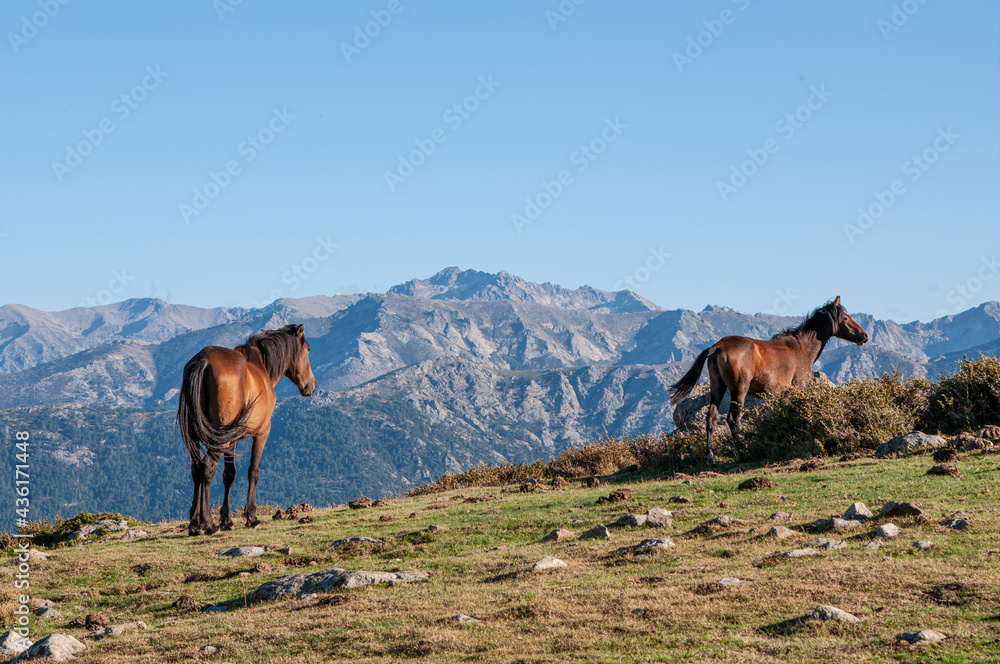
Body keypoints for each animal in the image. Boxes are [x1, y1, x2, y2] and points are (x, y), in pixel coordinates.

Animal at [178, 324, 317, 535]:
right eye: (308, 349)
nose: (311, 385)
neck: (260, 368)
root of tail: (203, 361)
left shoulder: (233, 439)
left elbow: (230, 474)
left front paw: (227, 520)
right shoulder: (262, 433)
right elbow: (254, 471)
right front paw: (252, 517)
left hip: (199, 436)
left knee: (196, 468)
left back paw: (194, 524)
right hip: (220, 438)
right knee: (208, 467)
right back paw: (208, 524)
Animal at [669, 297, 868, 464]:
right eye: (845, 318)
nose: (864, 335)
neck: (800, 348)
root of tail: (717, 346)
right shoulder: (799, 387)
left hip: (717, 387)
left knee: (711, 418)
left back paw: (710, 456)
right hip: (738, 390)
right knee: (733, 420)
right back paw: (742, 451)